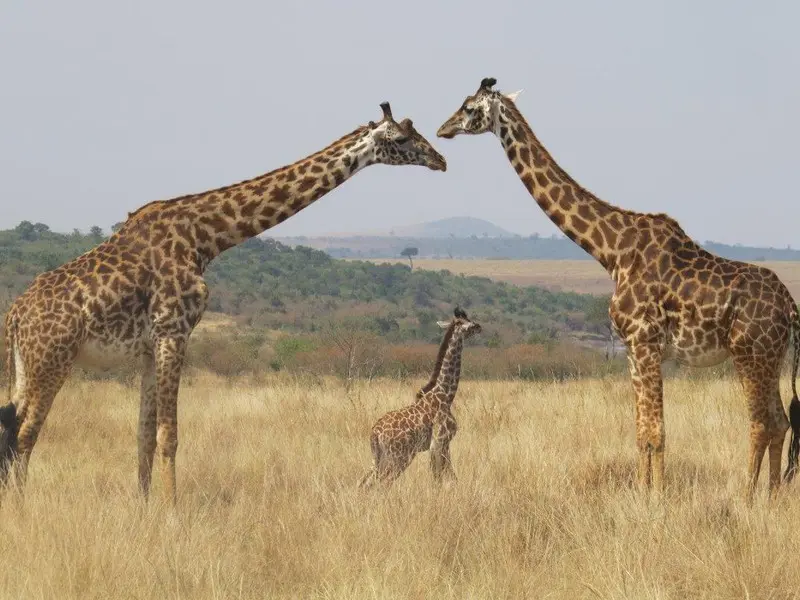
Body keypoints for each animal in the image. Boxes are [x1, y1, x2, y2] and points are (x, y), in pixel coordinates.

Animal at [2, 102, 447, 503]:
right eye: (402, 138)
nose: (440, 159)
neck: (205, 237)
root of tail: (14, 316)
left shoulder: (149, 346)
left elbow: (144, 436)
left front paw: (144, 509)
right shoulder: (173, 331)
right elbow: (169, 435)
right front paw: (172, 515)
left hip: (26, 365)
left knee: (11, 427)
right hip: (52, 360)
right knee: (24, 435)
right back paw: (22, 510)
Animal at [359, 307, 481, 488]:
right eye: (466, 323)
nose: (479, 326)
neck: (446, 394)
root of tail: (375, 433)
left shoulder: (441, 444)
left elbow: (446, 475)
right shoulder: (440, 441)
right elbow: (441, 476)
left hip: (378, 458)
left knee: (363, 482)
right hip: (399, 456)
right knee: (383, 484)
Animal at [437, 77, 800, 498]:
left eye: (468, 107)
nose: (442, 129)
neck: (611, 251)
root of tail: (790, 306)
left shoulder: (645, 343)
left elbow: (657, 432)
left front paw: (658, 498)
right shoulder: (632, 349)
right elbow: (642, 432)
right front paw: (643, 494)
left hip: (750, 354)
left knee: (760, 423)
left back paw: (746, 498)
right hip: (771, 356)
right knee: (780, 421)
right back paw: (772, 496)